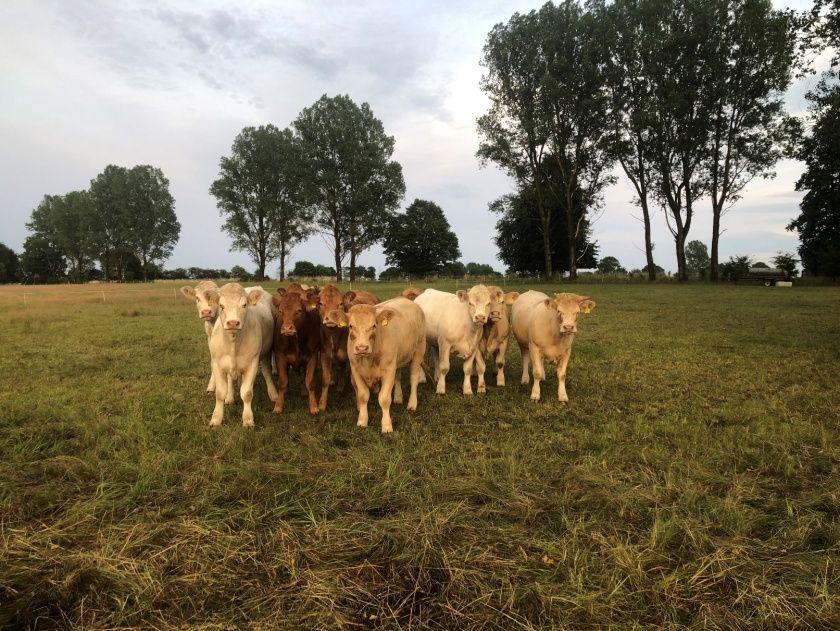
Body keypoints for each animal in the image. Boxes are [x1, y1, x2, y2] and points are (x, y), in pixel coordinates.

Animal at [208, 284, 278, 428]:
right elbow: (220, 393)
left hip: (266, 353)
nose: (233, 323)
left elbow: (246, 393)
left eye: (244, 305)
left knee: (267, 372)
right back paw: (230, 396)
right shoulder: (217, 364)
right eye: (221, 306)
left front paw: (248, 418)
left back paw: (273, 394)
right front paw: (216, 418)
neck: (233, 343)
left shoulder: (252, 363)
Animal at [332, 298, 426, 432]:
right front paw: (362, 420)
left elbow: (384, 399)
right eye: (350, 326)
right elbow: (363, 396)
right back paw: (398, 398)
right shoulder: (356, 370)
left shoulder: (389, 370)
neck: (368, 360)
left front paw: (386, 425)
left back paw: (412, 404)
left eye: (374, 326)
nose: (362, 348)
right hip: (398, 358)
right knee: (398, 376)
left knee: (414, 377)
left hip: (419, 349)